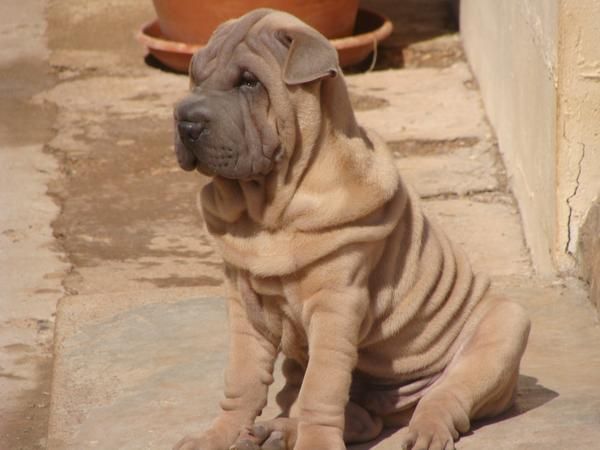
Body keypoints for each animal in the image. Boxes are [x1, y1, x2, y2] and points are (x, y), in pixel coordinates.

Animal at [172, 7, 528, 450]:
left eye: (249, 82)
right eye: (196, 76)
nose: (185, 122)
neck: (268, 209)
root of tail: (396, 407)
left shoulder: (336, 304)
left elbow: (321, 387)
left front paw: (315, 444)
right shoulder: (244, 304)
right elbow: (242, 377)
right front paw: (218, 435)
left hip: (506, 326)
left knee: (447, 396)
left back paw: (426, 430)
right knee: (351, 416)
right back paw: (276, 430)